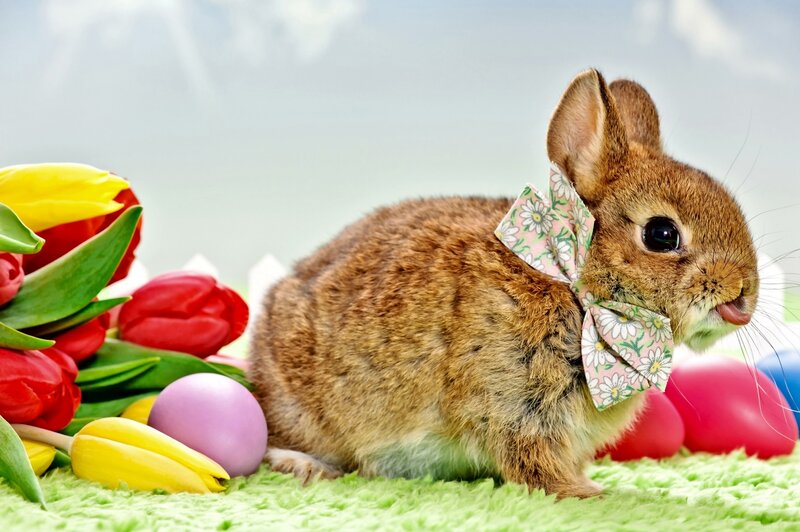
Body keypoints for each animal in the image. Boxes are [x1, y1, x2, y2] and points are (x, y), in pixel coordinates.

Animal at [249, 69, 758, 498]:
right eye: (661, 234)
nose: (743, 293)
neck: (576, 288)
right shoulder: (515, 405)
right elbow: (532, 461)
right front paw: (589, 494)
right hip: (301, 408)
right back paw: (304, 465)